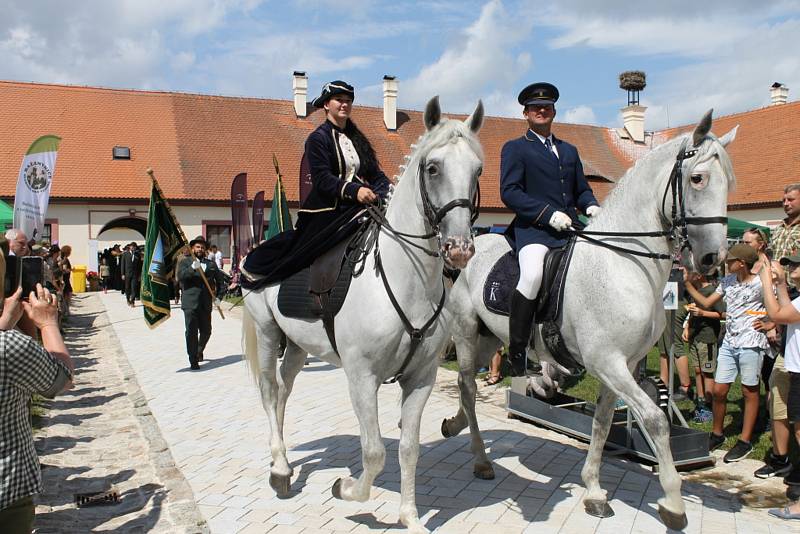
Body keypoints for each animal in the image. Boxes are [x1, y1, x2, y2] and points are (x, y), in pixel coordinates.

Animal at [241, 97, 484, 534]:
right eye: (432, 167)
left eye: (477, 170)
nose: (459, 249)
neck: (407, 280)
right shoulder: (361, 377)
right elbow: (373, 453)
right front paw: (345, 489)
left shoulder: (421, 378)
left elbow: (408, 449)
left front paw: (410, 517)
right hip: (268, 334)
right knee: (269, 392)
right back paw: (281, 469)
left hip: (298, 347)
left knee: (283, 391)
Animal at [440, 111, 736, 528]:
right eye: (698, 179)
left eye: (730, 181)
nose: (712, 259)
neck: (622, 262)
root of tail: (470, 244)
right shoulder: (607, 362)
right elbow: (655, 421)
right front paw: (674, 505)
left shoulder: (624, 365)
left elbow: (602, 423)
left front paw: (594, 490)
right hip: (466, 335)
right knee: (467, 387)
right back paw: (481, 460)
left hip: (489, 339)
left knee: (467, 389)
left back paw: (455, 425)